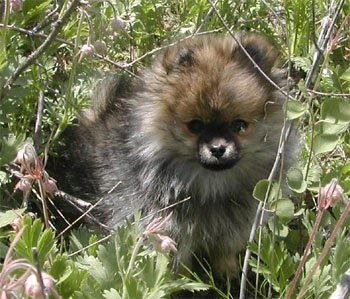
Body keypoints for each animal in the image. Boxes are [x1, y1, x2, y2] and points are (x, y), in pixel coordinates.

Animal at [54, 34, 298, 278]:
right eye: (195, 125)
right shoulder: (164, 224)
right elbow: (174, 265)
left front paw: (227, 274)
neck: (211, 186)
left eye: (239, 125)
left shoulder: (237, 222)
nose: (218, 148)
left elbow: (225, 251)